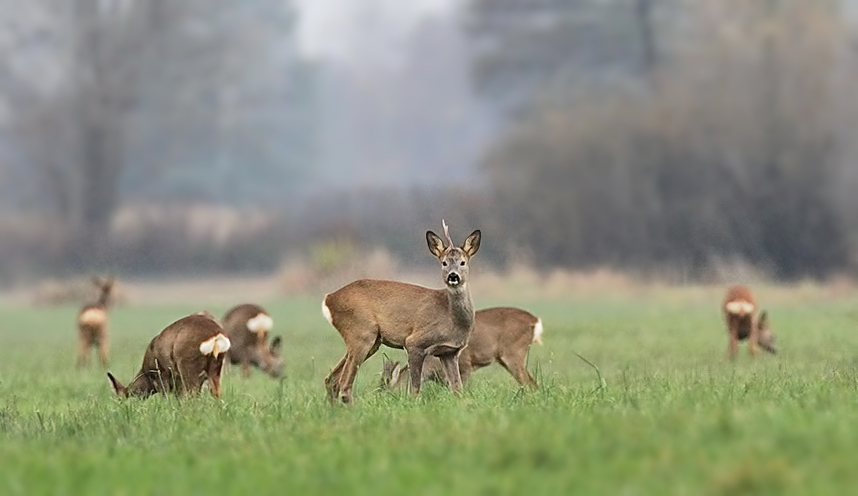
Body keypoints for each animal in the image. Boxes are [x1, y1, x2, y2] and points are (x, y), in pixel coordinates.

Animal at [322, 221, 482, 404]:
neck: (451, 318)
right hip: (362, 332)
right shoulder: (414, 342)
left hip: (371, 340)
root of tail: (329, 299)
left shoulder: (449, 352)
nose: (453, 276)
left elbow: (457, 389)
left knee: (331, 379)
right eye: (444, 263)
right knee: (344, 384)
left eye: (463, 262)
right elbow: (414, 389)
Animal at [382, 306, 540, 392]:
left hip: (514, 353)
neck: (432, 364)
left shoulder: (465, 366)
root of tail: (534, 320)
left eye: (387, 390)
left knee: (531, 383)